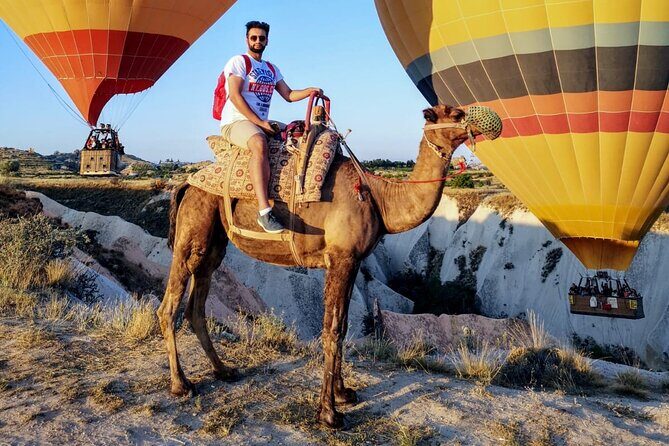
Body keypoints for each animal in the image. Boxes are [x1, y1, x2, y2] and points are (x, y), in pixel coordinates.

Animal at [158, 104, 488, 428]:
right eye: (456, 114)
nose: (486, 123)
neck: (378, 198)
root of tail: (186, 184)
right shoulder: (341, 258)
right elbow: (331, 329)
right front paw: (329, 413)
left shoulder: (352, 260)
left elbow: (342, 326)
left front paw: (344, 393)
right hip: (192, 231)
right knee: (169, 306)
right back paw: (181, 384)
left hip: (213, 244)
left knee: (196, 306)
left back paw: (224, 370)